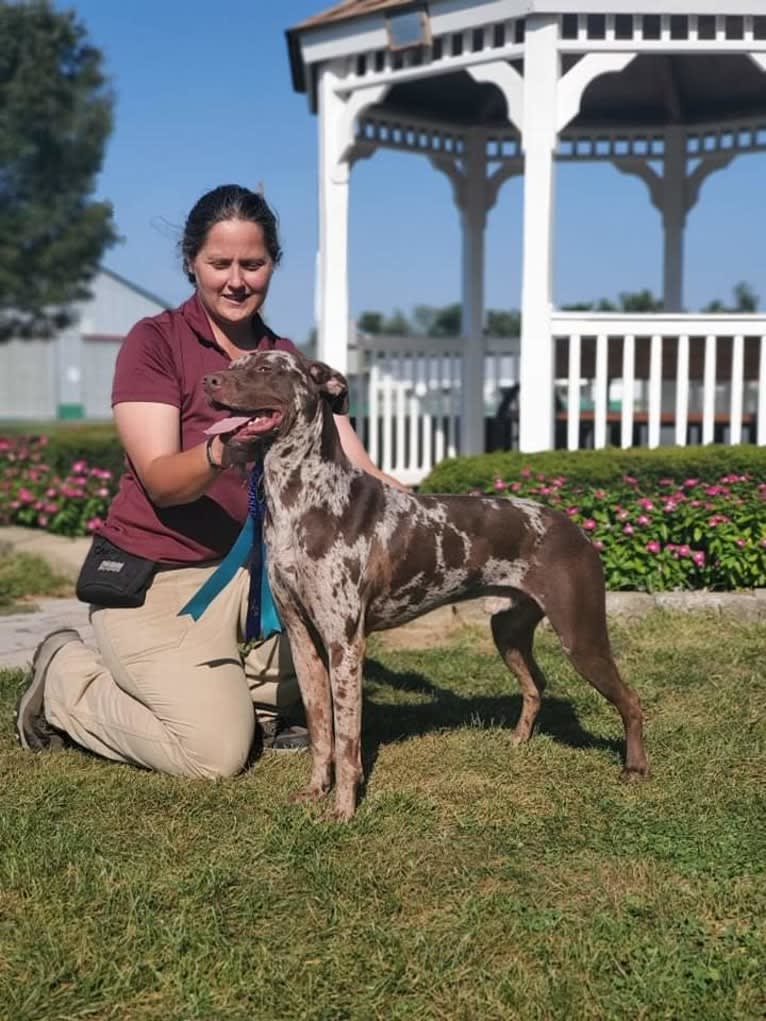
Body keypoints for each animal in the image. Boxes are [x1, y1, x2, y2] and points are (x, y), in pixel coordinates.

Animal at [202, 351, 649, 820]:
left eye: (267, 368)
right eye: (237, 362)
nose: (209, 380)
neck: (305, 498)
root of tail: (574, 526)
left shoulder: (345, 644)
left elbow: (346, 742)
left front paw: (344, 809)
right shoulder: (303, 639)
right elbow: (322, 732)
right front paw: (314, 791)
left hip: (581, 638)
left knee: (631, 700)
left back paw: (635, 768)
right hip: (508, 631)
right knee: (535, 685)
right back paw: (518, 740)